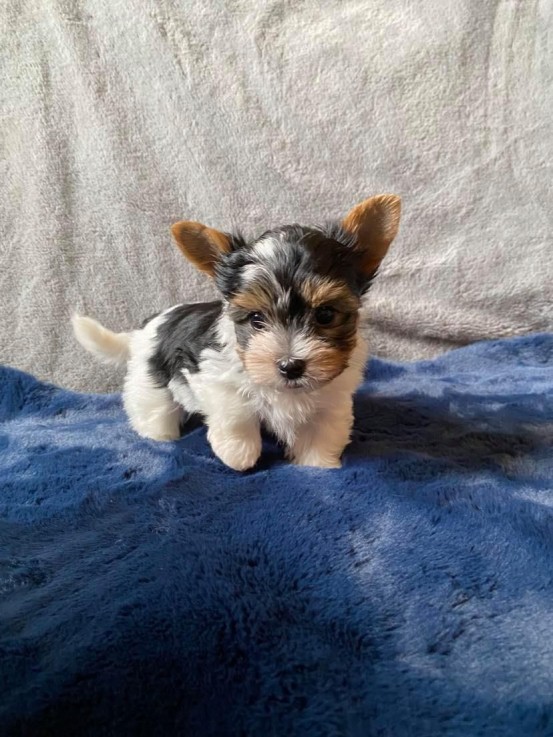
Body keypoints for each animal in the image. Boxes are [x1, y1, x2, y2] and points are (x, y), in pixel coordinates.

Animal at [74, 194, 402, 472]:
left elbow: (321, 431)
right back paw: (157, 436)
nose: (290, 366)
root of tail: (147, 327)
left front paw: (317, 464)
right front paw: (239, 453)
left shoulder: (330, 398)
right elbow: (236, 413)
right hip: (151, 381)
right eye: (256, 319)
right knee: (154, 411)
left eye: (325, 315)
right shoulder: (214, 376)